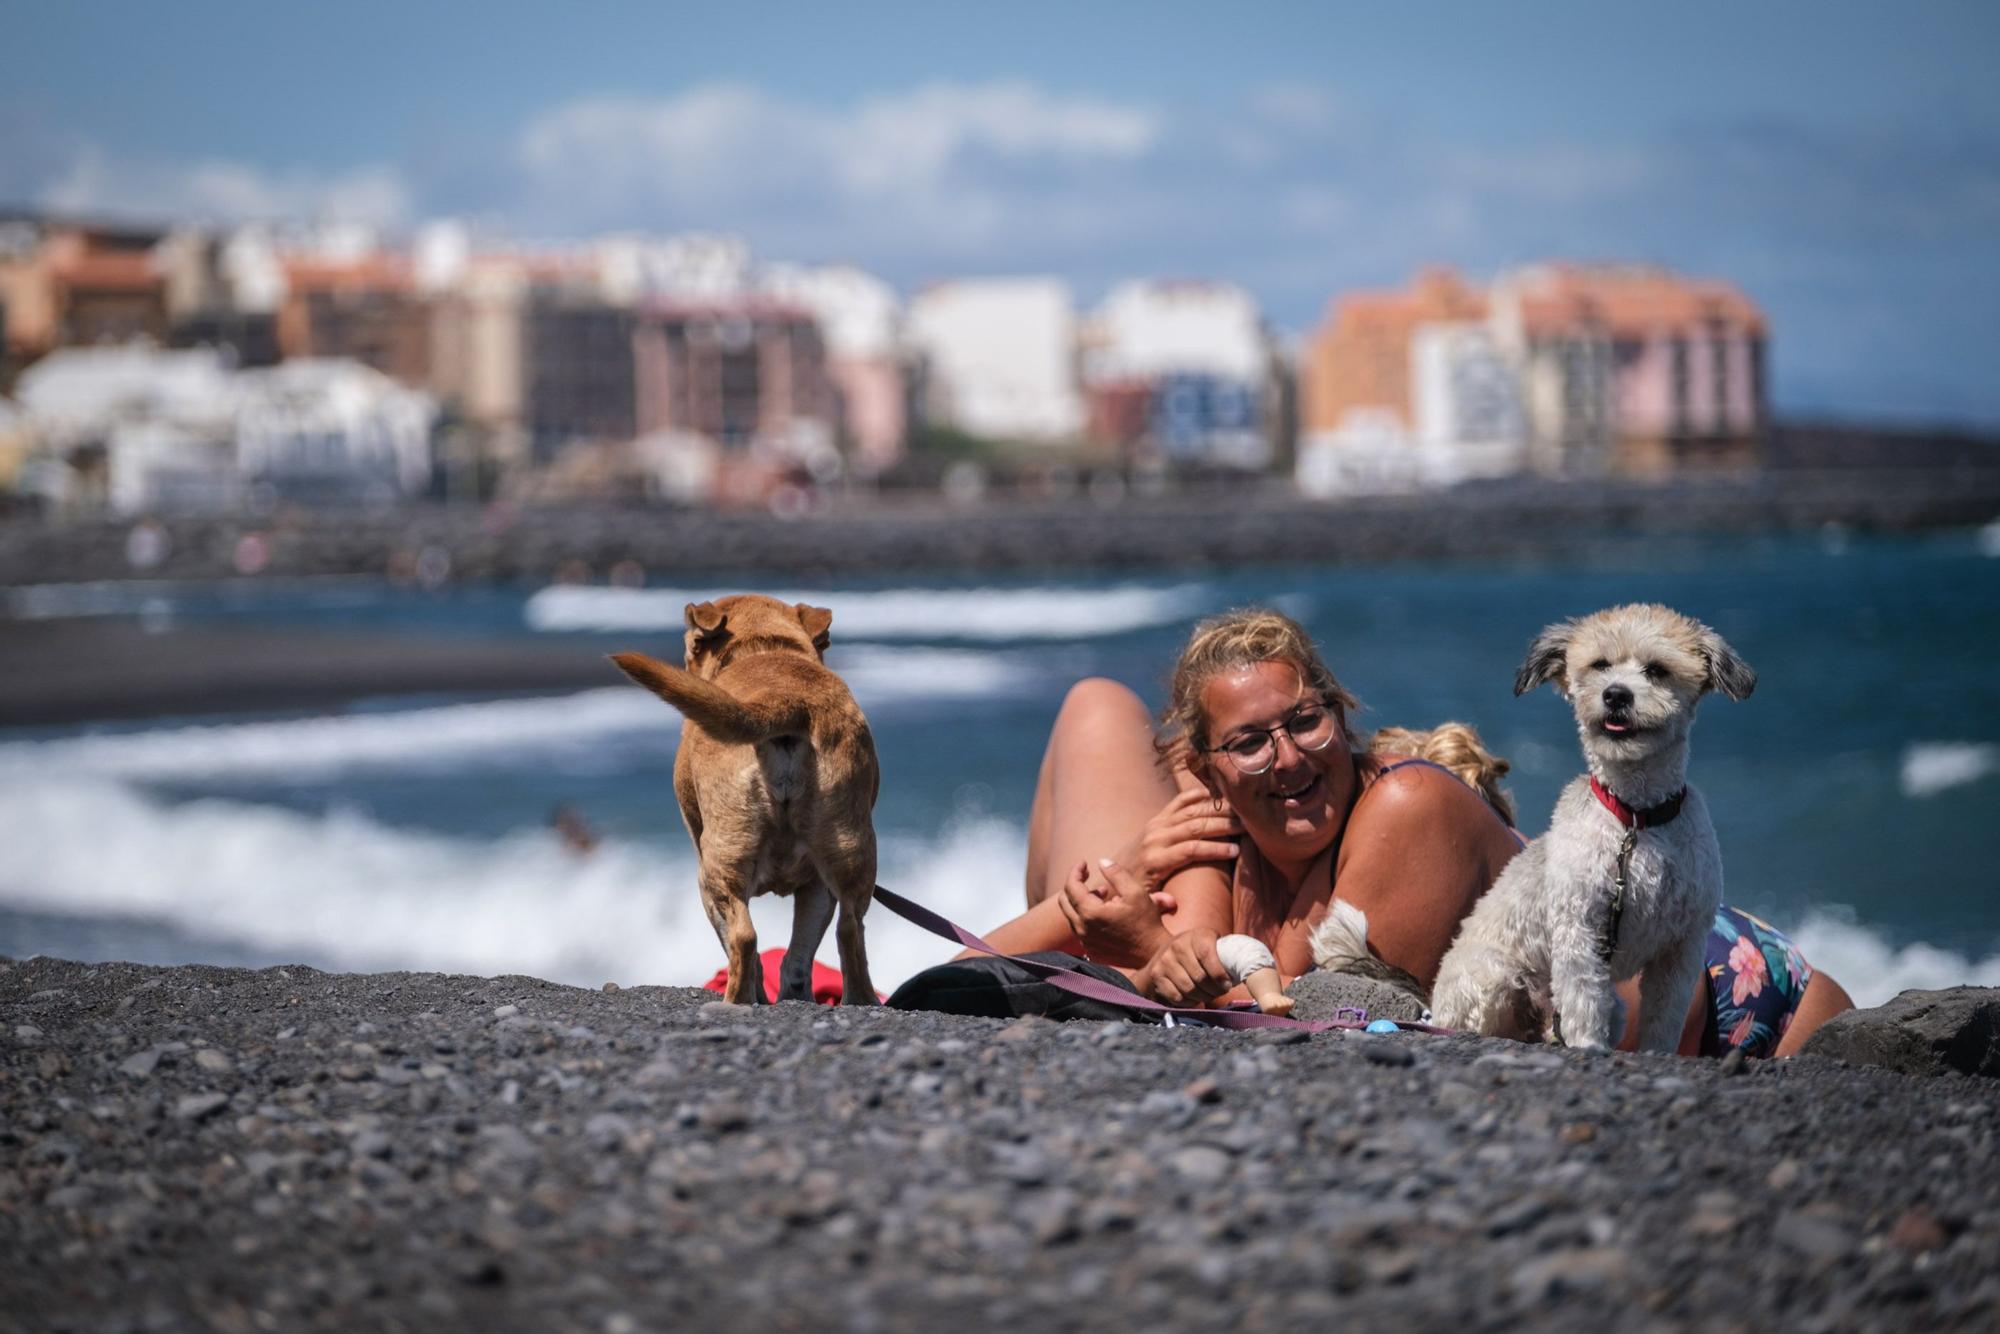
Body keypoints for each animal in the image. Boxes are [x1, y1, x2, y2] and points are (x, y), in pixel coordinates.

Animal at [612, 596, 880, 1000]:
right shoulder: (816, 886)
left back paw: (735, 1001)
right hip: (848, 850)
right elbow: (797, 960)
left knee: (744, 938)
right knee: (850, 930)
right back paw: (859, 1000)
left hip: (714, 872)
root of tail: (785, 700)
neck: (765, 648)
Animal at [1432, 604, 1760, 1056]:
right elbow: (1584, 999)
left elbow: (1666, 1014)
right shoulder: (1580, 928)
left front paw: (1658, 1052)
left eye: (1657, 670)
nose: (1616, 695)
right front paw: (1588, 1046)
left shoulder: (1683, 946)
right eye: (1600, 665)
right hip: (1490, 977)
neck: (1636, 820)